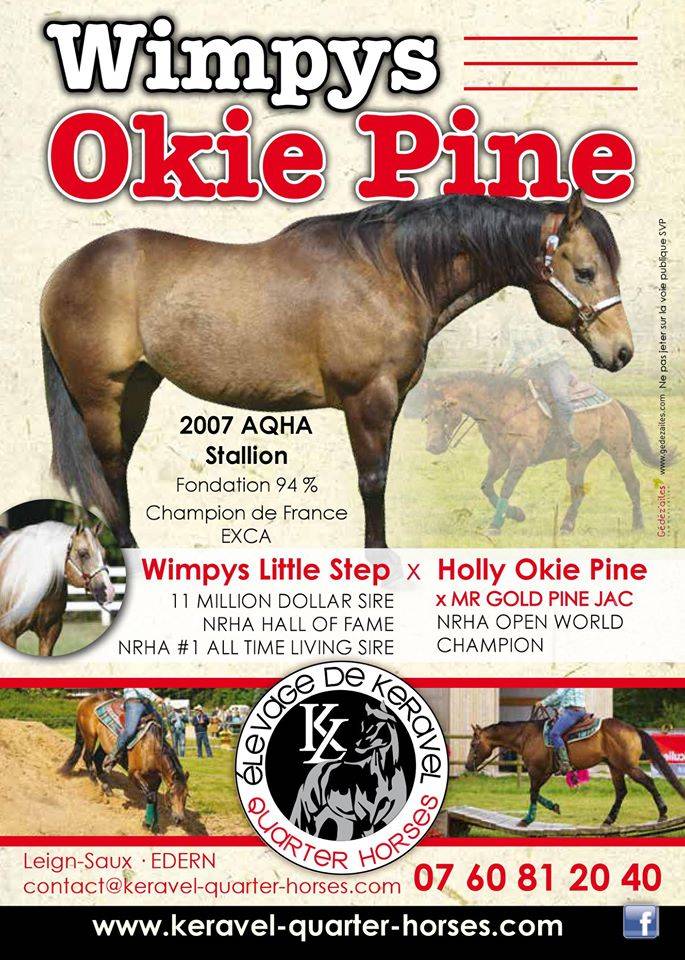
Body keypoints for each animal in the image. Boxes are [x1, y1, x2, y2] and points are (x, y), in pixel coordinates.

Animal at [40, 190, 632, 548]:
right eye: (585, 271)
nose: (622, 351)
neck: (389, 273)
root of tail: (63, 271)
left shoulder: (392, 401)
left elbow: (382, 473)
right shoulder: (366, 399)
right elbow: (372, 481)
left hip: (138, 389)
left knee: (117, 466)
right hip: (101, 395)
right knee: (108, 464)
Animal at [60, 693, 189, 833]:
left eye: (186, 795)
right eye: (171, 793)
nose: (180, 819)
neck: (151, 748)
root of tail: (85, 700)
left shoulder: (155, 780)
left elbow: (153, 799)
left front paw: (152, 825)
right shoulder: (133, 774)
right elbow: (151, 796)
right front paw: (148, 824)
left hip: (105, 744)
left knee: (98, 759)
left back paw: (107, 788)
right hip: (90, 736)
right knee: (87, 757)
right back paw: (96, 786)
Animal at [291, 702, 408, 840]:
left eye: (375, 727)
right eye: (363, 724)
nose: (357, 743)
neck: (386, 776)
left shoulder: (389, 817)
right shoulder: (366, 820)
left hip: (341, 820)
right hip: (312, 817)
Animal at [424, 372, 672, 536]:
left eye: (444, 408)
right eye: (427, 412)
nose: (432, 446)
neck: (502, 407)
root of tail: (614, 404)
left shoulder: (521, 457)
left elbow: (506, 488)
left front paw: (495, 526)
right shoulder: (498, 457)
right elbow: (487, 487)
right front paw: (517, 514)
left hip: (619, 451)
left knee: (632, 485)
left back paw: (638, 526)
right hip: (578, 459)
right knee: (578, 491)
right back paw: (566, 527)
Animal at [465, 716, 685, 828]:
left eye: (473, 744)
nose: (467, 766)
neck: (526, 737)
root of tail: (633, 729)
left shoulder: (538, 771)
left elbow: (533, 793)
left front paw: (527, 819)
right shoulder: (543, 772)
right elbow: (535, 793)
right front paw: (554, 807)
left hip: (628, 766)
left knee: (648, 781)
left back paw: (663, 813)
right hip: (615, 767)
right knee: (621, 791)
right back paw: (608, 820)